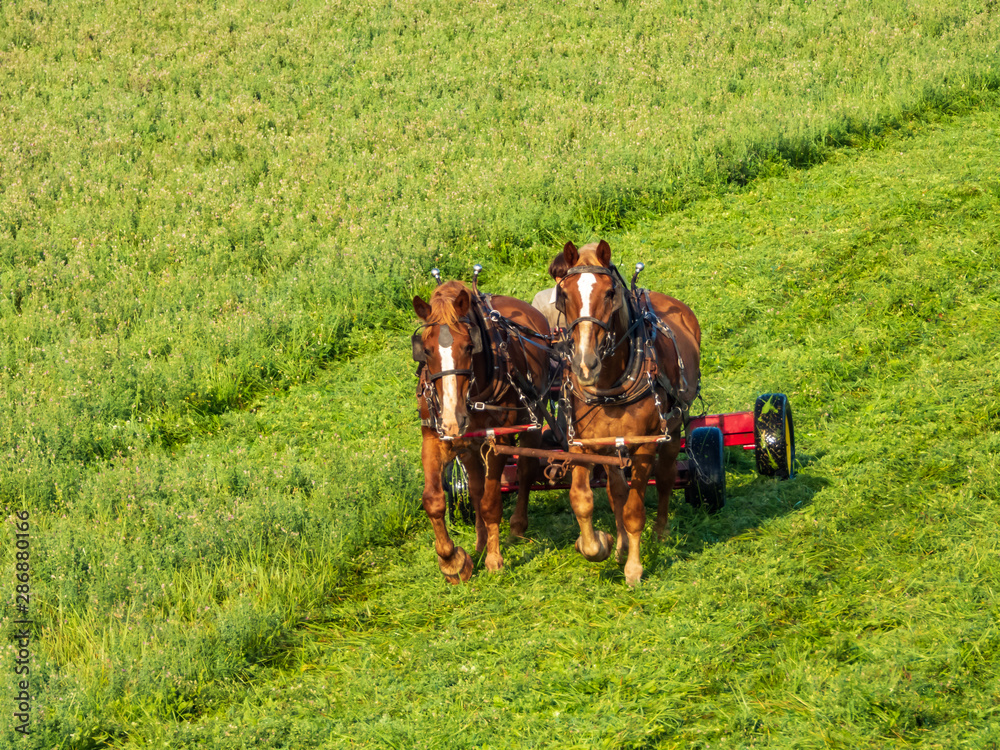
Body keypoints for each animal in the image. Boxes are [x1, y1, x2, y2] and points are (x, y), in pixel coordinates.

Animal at [413, 279, 552, 583]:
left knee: (526, 470)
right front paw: (453, 561)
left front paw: (494, 559)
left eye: (468, 347)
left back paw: (516, 529)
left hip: (532, 422)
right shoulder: (436, 437)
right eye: (426, 350)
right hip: (468, 447)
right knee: (475, 486)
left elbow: (491, 502)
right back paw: (479, 542)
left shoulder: (497, 439)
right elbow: (434, 500)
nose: (454, 418)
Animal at [555, 240, 701, 585]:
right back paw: (621, 543)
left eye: (610, 292)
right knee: (617, 491)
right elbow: (584, 500)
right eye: (563, 294)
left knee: (666, 476)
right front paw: (601, 543)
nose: (585, 363)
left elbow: (635, 509)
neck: (610, 385)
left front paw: (634, 568)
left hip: (673, 428)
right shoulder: (584, 444)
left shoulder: (645, 445)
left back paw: (660, 534)